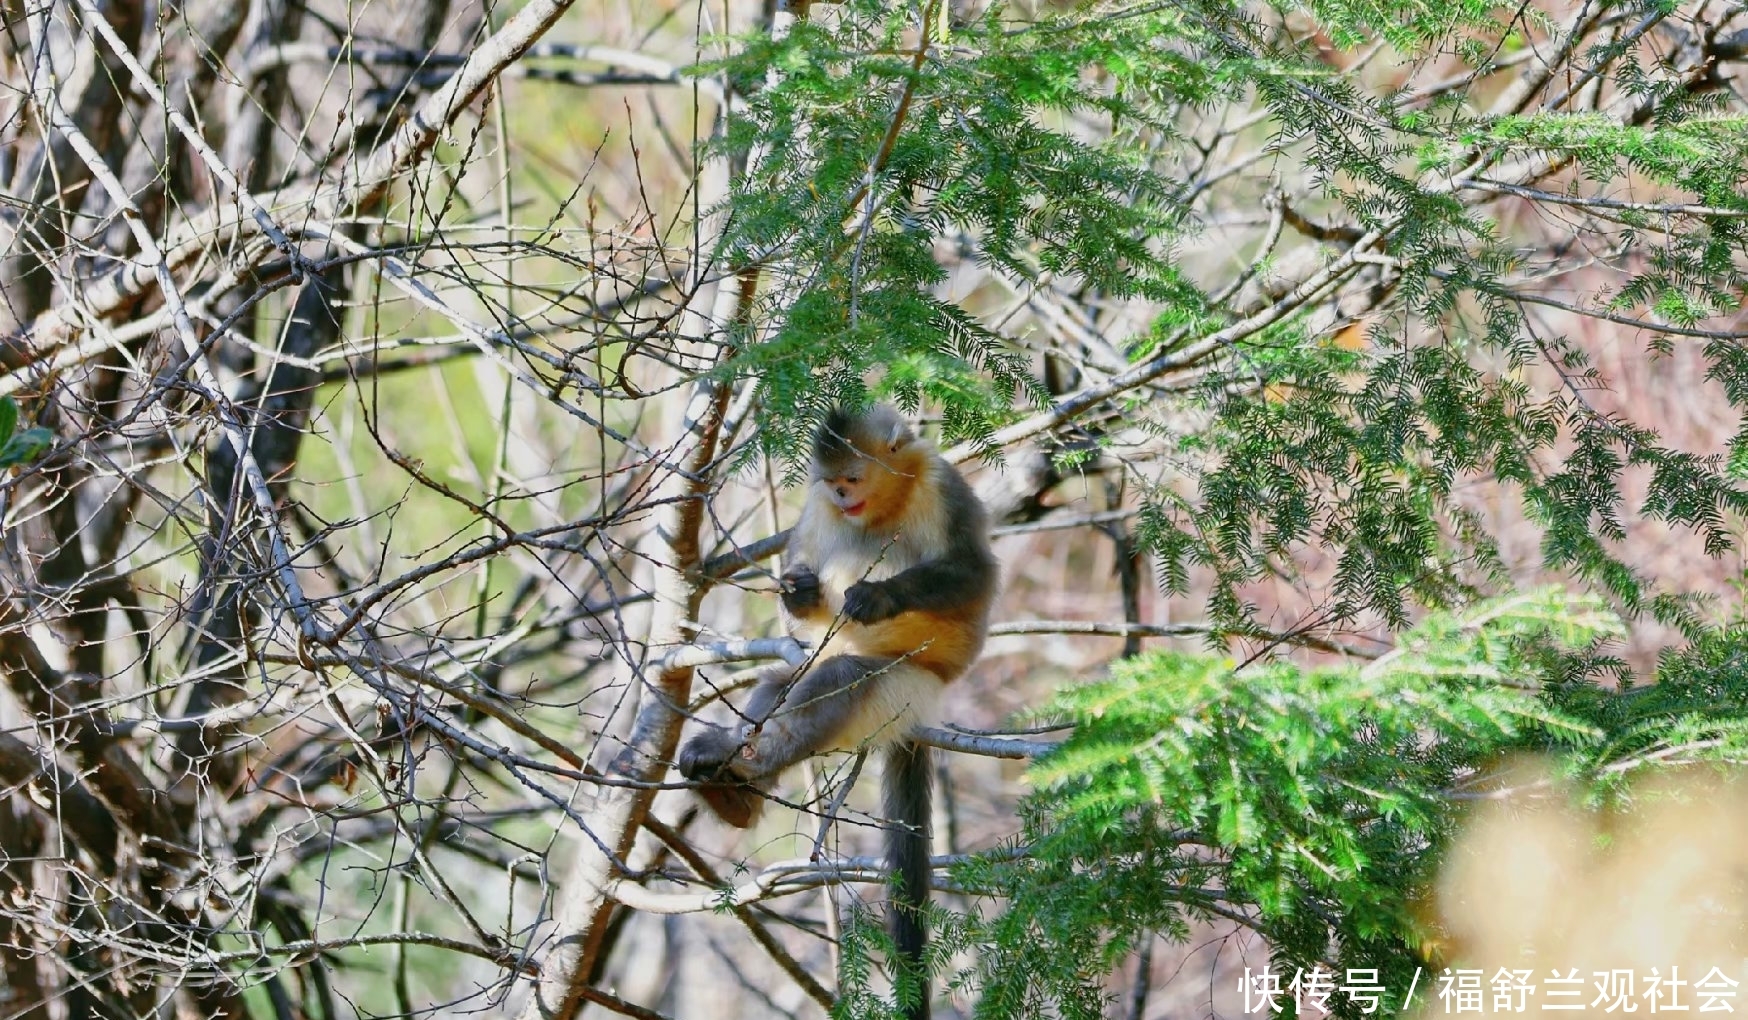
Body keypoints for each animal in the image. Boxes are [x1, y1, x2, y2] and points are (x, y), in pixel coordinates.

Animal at [678, 401, 992, 1013]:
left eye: (853, 478)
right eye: (834, 483)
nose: (844, 498)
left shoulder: (943, 483)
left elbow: (975, 574)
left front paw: (879, 597)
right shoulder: (817, 506)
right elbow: (802, 594)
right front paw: (799, 593)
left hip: (906, 688)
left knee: (843, 678)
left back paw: (748, 770)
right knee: (783, 682)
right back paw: (733, 784)